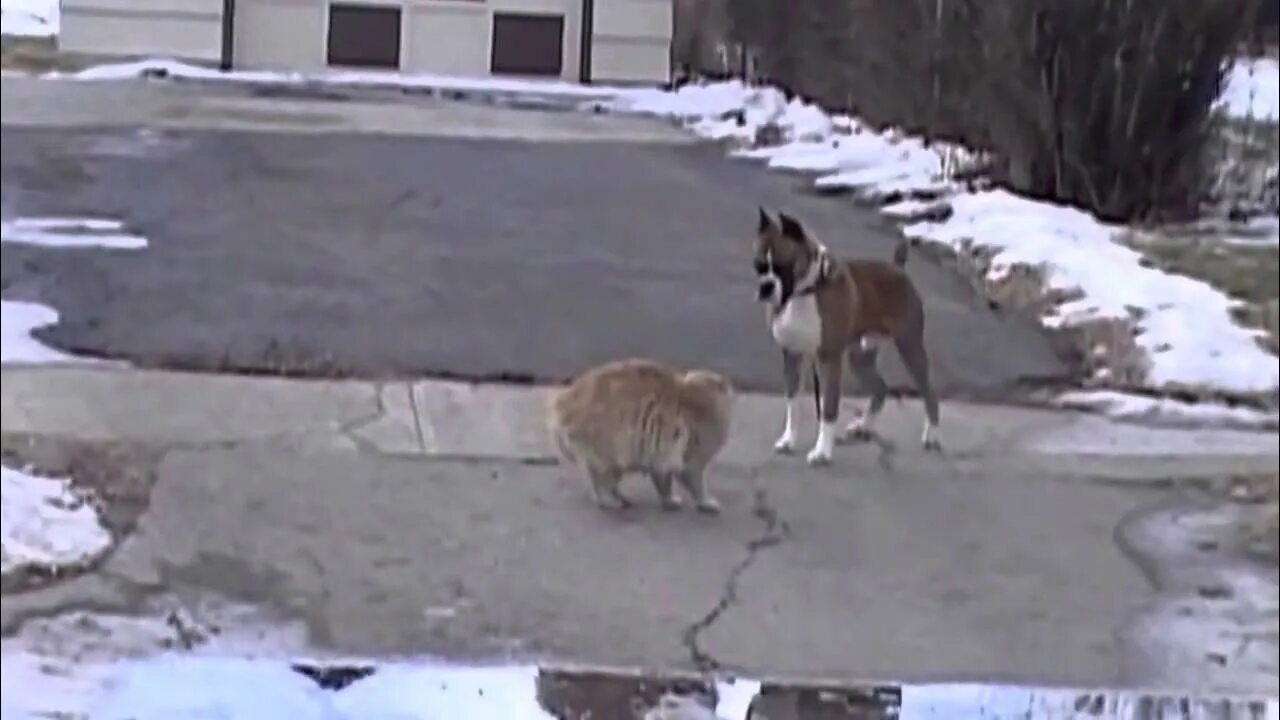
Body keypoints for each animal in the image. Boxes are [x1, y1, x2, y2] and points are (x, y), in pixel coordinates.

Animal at [747, 206, 942, 466]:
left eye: (783, 266)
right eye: (758, 266)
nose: (766, 287)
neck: (805, 292)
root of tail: (898, 268)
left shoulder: (828, 358)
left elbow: (828, 410)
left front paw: (822, 452)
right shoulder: (792, 356)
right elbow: (793, 404)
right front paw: (788, 440)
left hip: (909, 346)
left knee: (929, 391)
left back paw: (932, 435)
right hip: (860, 356)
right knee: (880, 389)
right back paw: (864, 426)